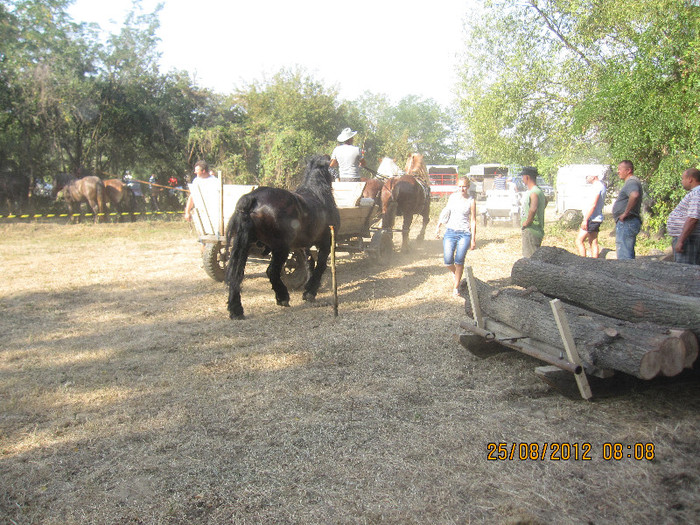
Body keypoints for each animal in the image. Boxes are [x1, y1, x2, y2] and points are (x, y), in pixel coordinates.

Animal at [224, 155, 340, 320]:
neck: (318, 194)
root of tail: (252, 198)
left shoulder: (303, 245)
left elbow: (310, 263)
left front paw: (307, 288)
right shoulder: (326, 242)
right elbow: (320, 266)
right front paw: (310, 292)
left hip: (244, 246)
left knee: (236, 274)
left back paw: (236, 310)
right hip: (280, 248)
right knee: (271, 271)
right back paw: (282, 297)